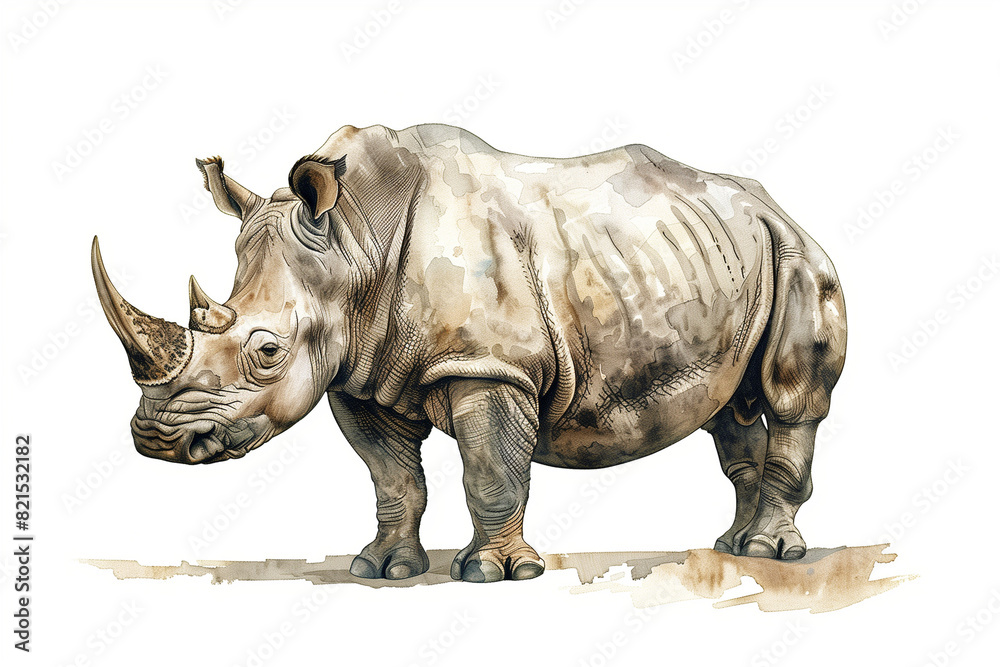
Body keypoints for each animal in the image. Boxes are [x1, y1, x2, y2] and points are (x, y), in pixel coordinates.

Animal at [92, 123, 846, 582]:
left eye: (268, 350)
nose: (155, 439)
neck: (353, 241)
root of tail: (772, 203)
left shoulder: (490, 365)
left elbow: (490, 471)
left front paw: (495, 573)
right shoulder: (359, 374)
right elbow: (393, 479)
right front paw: (383, 568)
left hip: (797, 256)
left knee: (791, 398)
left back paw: (768, 552)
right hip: (730, 258)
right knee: (731, 409)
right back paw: (733, 545)